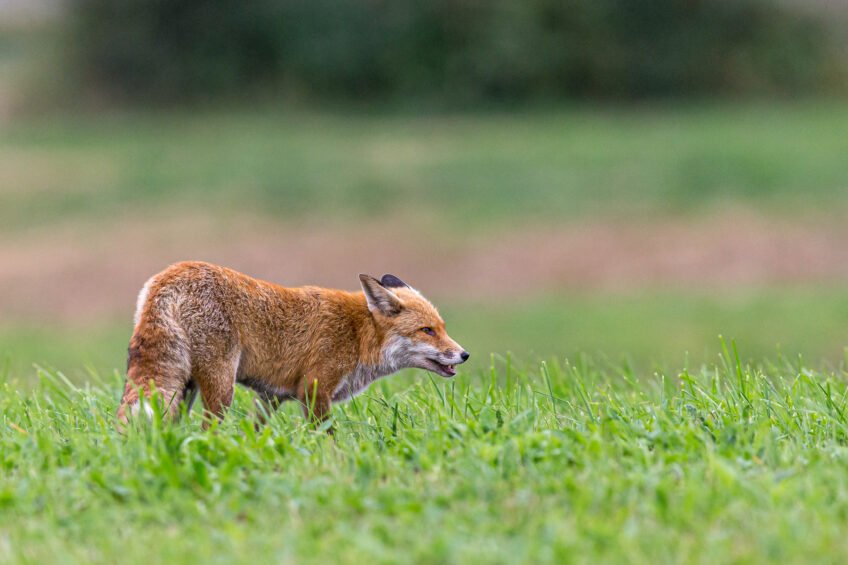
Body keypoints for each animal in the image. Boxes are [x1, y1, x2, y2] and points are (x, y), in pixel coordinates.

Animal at [117, 261, 469, 429]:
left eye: (442, 328)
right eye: (427, 331)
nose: (464, 354)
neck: (358, 335)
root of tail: (168, 276)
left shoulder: (272, 396)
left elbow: (253, 434)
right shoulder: (314, 391)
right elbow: (329, 440)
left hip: (185, 388)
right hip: (220, 388)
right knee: (207, 432)